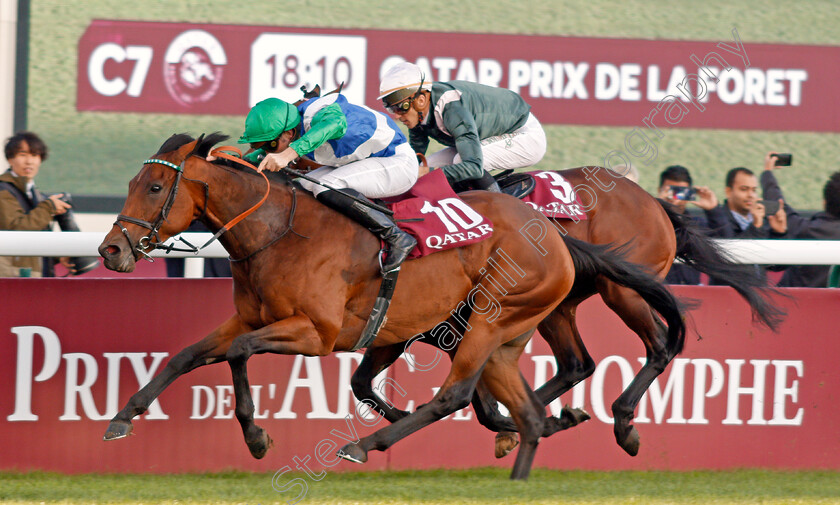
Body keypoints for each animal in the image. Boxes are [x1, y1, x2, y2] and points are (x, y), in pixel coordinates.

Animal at [97, 132, 688, 478]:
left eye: (155, 187)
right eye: (130, 182)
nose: (111, 250)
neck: (278, 230)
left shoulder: (316, 333)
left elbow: (240, 353)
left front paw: (257, 436)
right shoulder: (258, 317)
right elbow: (187, 355)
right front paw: (123, 418)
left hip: (514, 313)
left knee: (462, 392)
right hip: (521, 325)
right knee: (553, 382)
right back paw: (526, 439)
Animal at [352, 165, 784, 456]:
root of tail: (653, 201)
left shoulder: (462, 330)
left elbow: (476, 401)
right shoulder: (403, 331)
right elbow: (363, 383)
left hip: (620, 289)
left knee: (659, 344)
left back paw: (622, 422)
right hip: (559, 306)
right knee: (577, 363)